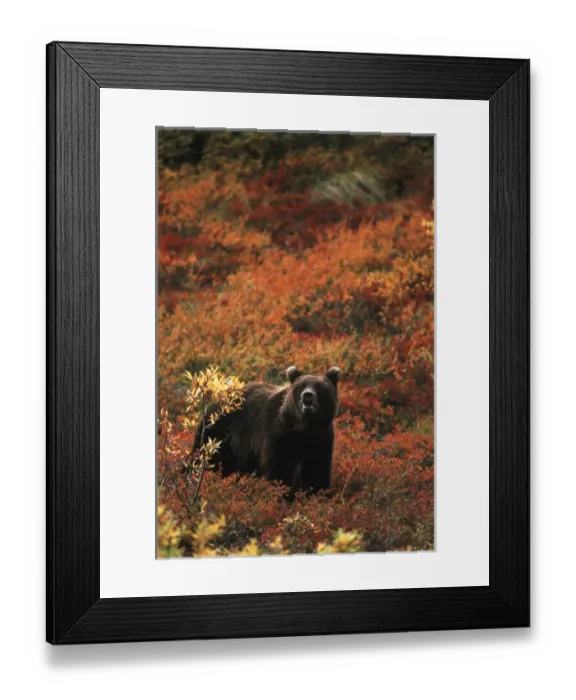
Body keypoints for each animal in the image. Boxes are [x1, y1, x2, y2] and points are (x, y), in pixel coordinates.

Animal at [193, 366, 340, 494]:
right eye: (301, 386)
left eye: (320, 386)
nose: (307, 395)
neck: (304, 427)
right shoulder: (279, 434)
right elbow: (279, 469)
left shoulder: (321, 438)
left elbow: (317, 470)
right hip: (217, 434)